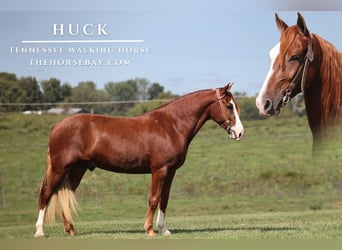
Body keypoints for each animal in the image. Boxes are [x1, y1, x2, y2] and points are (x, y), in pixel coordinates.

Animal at [34, 83, 243, 236]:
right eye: (228, 105)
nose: (239, 133)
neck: (171, 125)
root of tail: (57, 126)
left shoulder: (171, 171)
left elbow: (164, 199)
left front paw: (164, 230)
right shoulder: (159, 170)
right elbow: (153, 199)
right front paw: (150, 230)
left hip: (77, 170)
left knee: (63, 196)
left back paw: (71, 230)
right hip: (60, 168)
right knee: (46, 193)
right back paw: (39, 232)